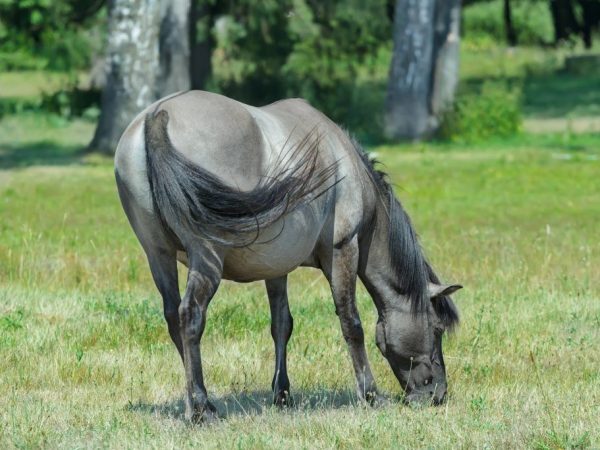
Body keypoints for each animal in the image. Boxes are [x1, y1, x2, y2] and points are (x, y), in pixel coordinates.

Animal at [115, 90, 462, 422]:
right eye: (436, 329)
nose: (438, 394)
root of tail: (158, 115)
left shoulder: (276, 267)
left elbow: (281, 324)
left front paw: (281, 395)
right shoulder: (343, 249)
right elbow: (351, 323)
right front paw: (370, 394)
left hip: (158, 255)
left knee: (174, 319)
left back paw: (202, 401)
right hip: (206, 256)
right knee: (190, 316)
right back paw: (201, 409)